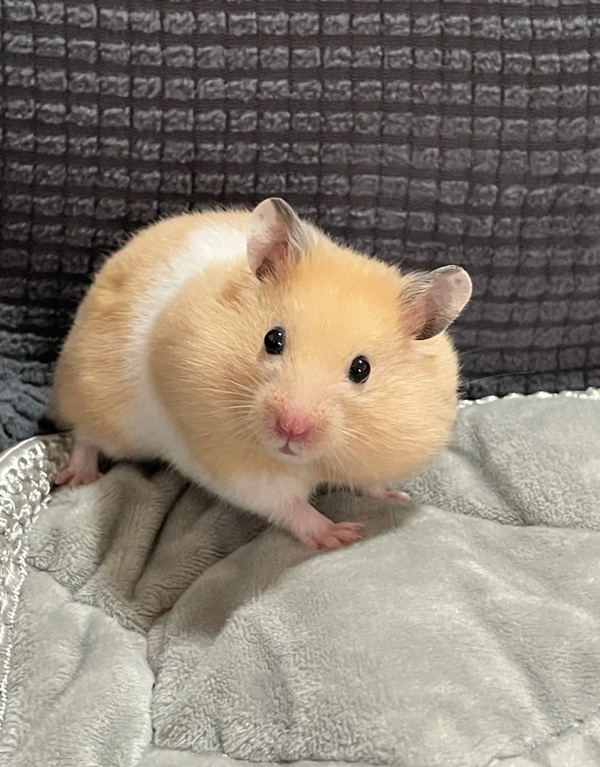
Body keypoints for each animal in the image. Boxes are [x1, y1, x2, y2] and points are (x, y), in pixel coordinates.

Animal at [49, 198, 472, 551]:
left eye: (361, 369)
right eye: (273, 339)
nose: (291, 428)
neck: (308, 461)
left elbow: (371, 482)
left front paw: (396, 496)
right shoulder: (233, 465)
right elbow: (286, 505)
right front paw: (340, 535)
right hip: (100, 403)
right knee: (85, 435)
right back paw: (76, 477)